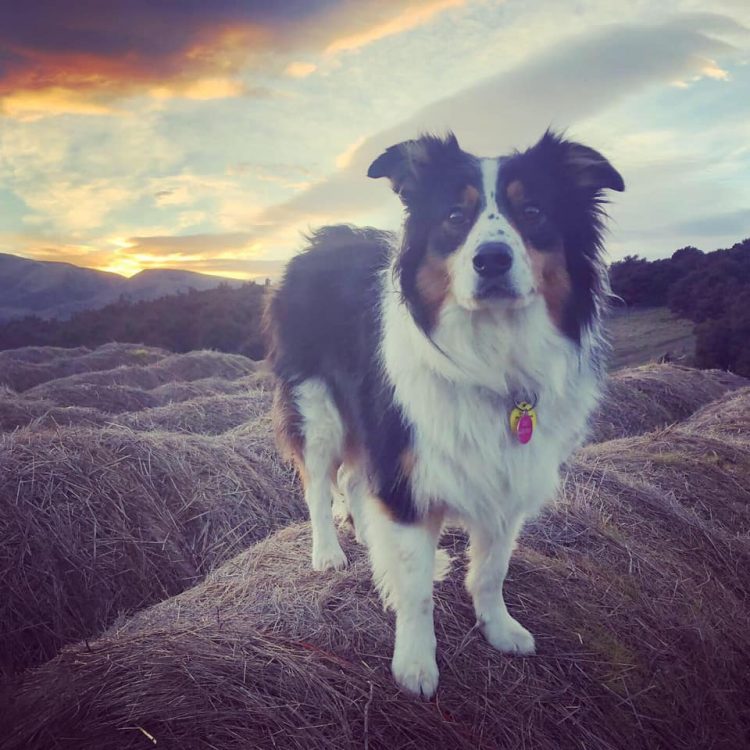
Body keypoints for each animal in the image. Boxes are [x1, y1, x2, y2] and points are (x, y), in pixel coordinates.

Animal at [264, 131, 624, 700]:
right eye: (456, 216)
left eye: (533, 212)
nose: (492, 260)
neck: (492, 353)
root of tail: (315, 242)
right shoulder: (406, 462)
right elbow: (415, 591)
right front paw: (414, 663)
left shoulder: (507, 475)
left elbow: (492, 569)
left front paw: (498, 628)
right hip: (317, 408)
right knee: (319, 485)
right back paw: (328, 553)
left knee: (356, 480)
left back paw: (368, 539)